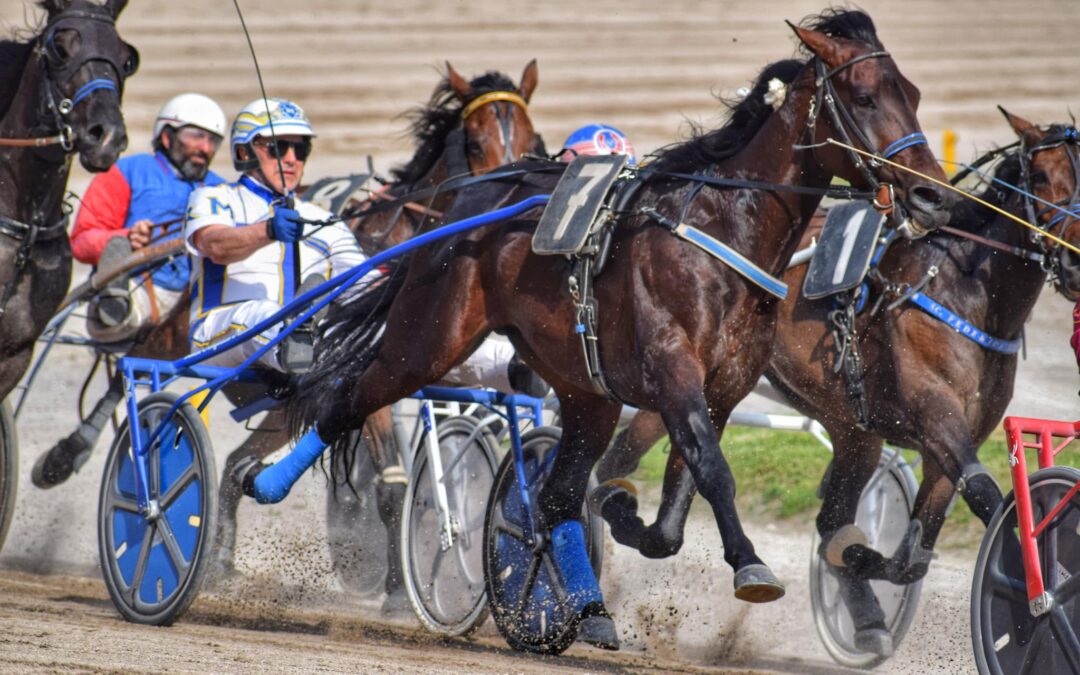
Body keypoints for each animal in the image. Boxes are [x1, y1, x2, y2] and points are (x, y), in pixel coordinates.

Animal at [289, 9, 954, 648]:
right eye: (864, 95)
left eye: (914, 93)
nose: (931, 197)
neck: (722, 232)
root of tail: (462, 211)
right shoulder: (674, 370)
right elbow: (714, 471)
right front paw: (750, 565)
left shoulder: (721, 390)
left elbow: (674, 510)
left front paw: (619, 508)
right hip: (428, 340)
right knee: (344, 399)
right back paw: (273, 486)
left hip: (584, 390)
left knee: (552, 501)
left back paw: (582, 611)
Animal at [591, 109, 1080, 652]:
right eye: (1042, 177)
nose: (1074, 259)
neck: (965, 290)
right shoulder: (935, 413)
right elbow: (985, 495)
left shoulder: (949, 440)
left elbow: (909, 556)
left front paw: (857, 561)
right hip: (683, 383)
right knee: (616, 459)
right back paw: (609, 512)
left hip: (851, 431)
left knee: (831, 511)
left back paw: (865, 616)